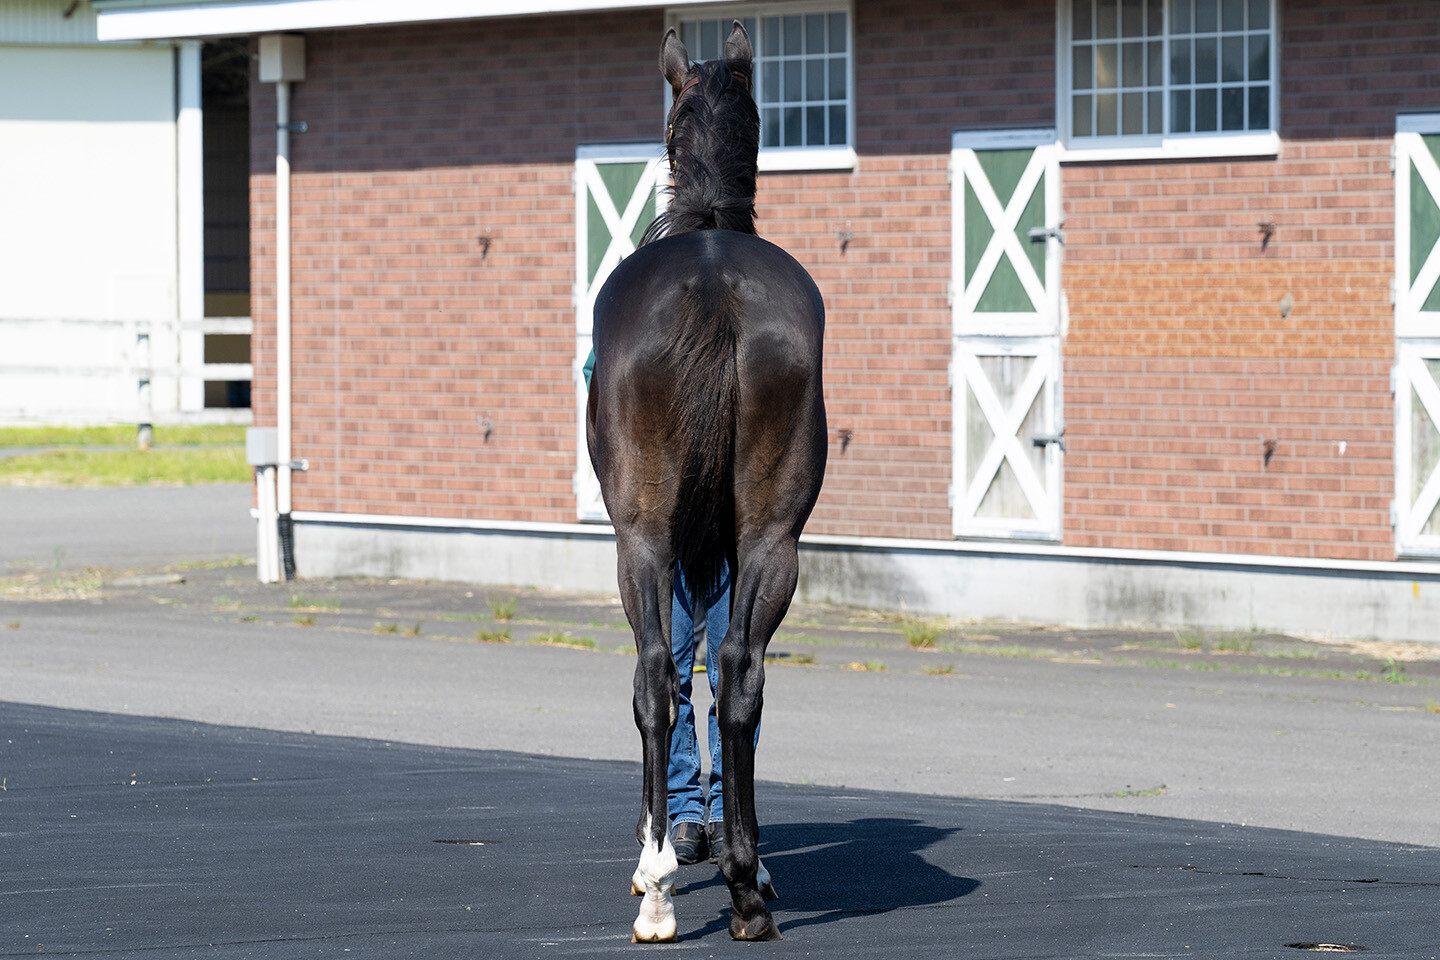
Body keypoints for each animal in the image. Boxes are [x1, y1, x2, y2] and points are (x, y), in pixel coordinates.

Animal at [585, 20, 827, 944]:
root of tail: (717, 289)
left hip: (641, 542)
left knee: (657, 673)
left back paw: (657, 883)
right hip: (770, 537)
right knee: (737, 675)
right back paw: (746, 886)